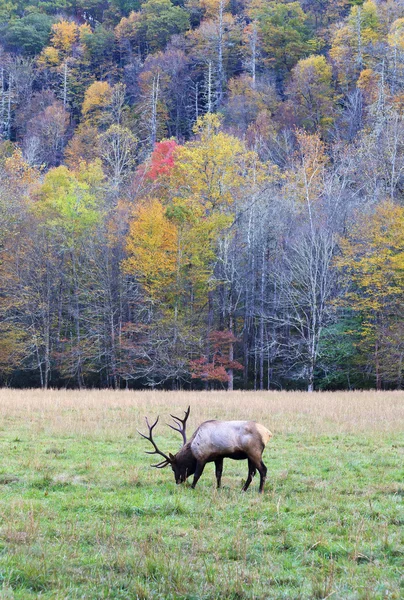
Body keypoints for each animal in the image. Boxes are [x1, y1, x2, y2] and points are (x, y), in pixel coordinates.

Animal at [137, 408, 274, 492]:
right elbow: (218, 473)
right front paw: (218, 488)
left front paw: (192, 487)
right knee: (252, 473)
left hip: (254, 452)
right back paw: (243, 490)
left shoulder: (202, 457)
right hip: (250, 456)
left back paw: (260, 491)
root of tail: (268, 433)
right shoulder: (219, 457)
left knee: (263, 470)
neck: (193, 449)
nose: (178, 481)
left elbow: (197, 475)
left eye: (173, 468)